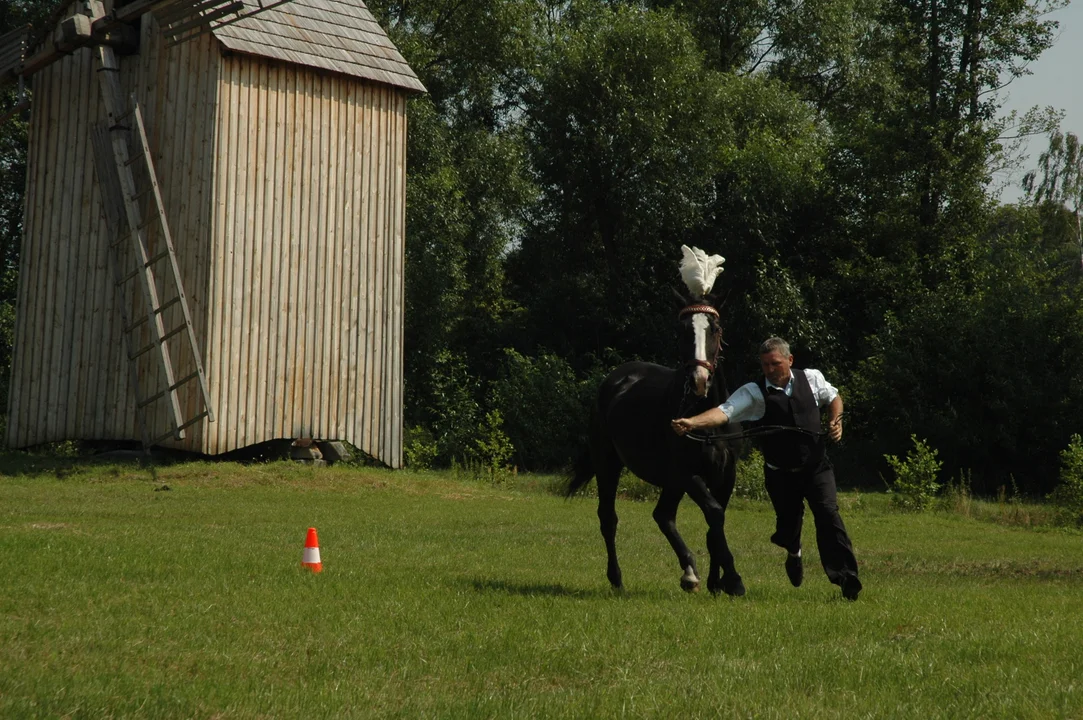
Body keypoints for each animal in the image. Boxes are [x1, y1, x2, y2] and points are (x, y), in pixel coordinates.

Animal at [567, 292, 745, 593]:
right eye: (682, 330)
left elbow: (715, 524)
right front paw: (733, 580)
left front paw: (715, 583)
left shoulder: (724, 476)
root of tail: (615, 379)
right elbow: (714, 513)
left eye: (715, 329)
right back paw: (617, 579)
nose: (699, 381)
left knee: (663, 515)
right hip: (608, 464)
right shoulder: (688, 474)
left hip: (671, 481)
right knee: (609, 518)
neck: (706, 417)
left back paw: (690, 574)